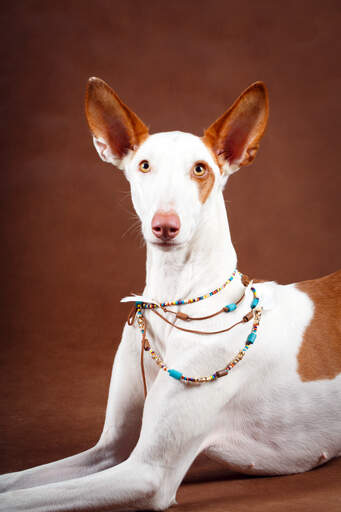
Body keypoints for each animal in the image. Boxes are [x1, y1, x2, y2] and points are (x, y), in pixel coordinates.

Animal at [0, 78, 340, 510]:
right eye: (144, 165)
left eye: (200, 168)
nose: (165, 225)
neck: (176, 302)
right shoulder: (108, 450)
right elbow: (15, 481)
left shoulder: (147, 472)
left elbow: (20, 498)